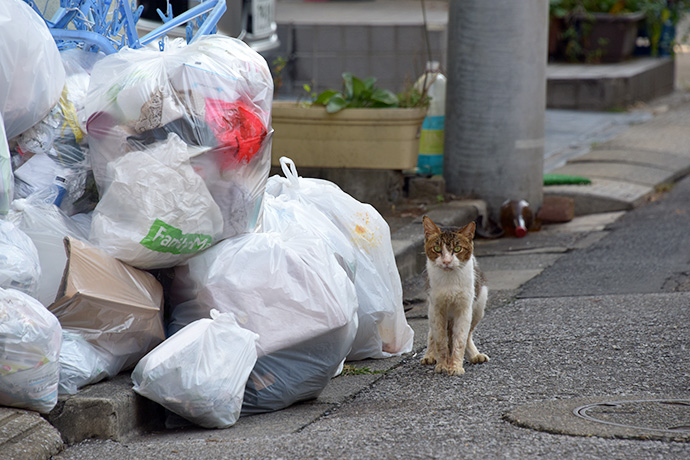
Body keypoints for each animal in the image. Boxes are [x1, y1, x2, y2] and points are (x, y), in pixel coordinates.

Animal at [420, 217, 490, 376]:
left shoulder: (464, 308)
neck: (449, 281)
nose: (446, 261)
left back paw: (475, 355)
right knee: (432, 333)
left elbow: (460, 340)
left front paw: (456, 367)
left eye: (457, 249)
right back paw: (429, 355)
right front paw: (442, 365)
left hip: (479, 304)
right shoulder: (436, 307)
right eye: (437, 249)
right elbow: (440, 340)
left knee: (468, 334)